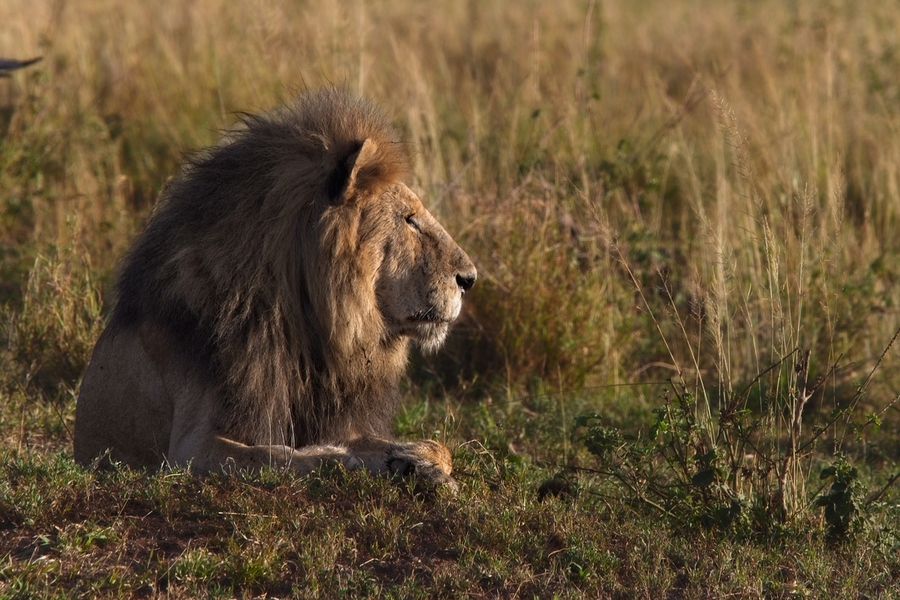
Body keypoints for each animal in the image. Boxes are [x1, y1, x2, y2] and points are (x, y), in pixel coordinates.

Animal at [73, 89, 476, 490]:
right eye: (410, 220)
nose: (470, 278)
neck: (307, 325)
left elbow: (437, 446)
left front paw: (414, 461)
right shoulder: (189, 449)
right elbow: (288, 456)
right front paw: (354, 459)